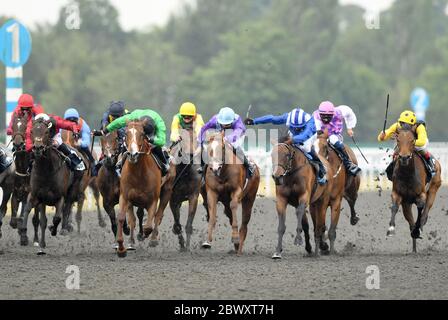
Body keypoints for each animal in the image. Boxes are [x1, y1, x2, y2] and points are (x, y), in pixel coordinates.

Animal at [115, 120, 163, 258]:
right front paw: (121, 248)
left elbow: (148, 226)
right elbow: (121, 218)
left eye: (142, 134)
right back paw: (132, 241)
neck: (139, 174)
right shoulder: (125, 196)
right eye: (126, 133)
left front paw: (144, 235)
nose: (133, 154)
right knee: (134, 218)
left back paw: (151, 239)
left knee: (157, 216)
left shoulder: (153, 200)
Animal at [386, 124, 442, 252]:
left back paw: (420, 226)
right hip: (407, 204)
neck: (407, 174)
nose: (404, 157)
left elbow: (421, 208)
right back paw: (414, 248)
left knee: (425, 212)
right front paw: (391, 229)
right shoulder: (398, 194)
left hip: (434, 188)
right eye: (398, 140)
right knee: (410, 222)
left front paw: (417, 229)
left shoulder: (421, 195)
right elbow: (394, 207)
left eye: (412, 140)